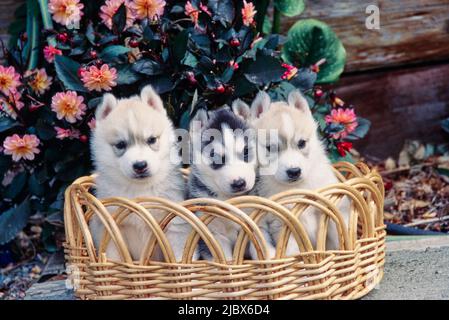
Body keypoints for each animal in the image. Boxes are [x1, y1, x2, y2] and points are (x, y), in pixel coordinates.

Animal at [90, 85, 195, 262]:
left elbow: (180, 256)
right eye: (120, 145)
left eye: (152, 140)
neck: (140, 189)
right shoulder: (110, 229)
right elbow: (114, 258)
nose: (140, 165)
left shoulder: (175, 226)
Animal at [233, 90, 348, 258]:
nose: (294, 172)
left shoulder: (330, 208)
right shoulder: (281, 223)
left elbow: (337, 235)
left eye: (301, 143)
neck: (296, 188)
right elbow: (291, 251)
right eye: (271, 148)